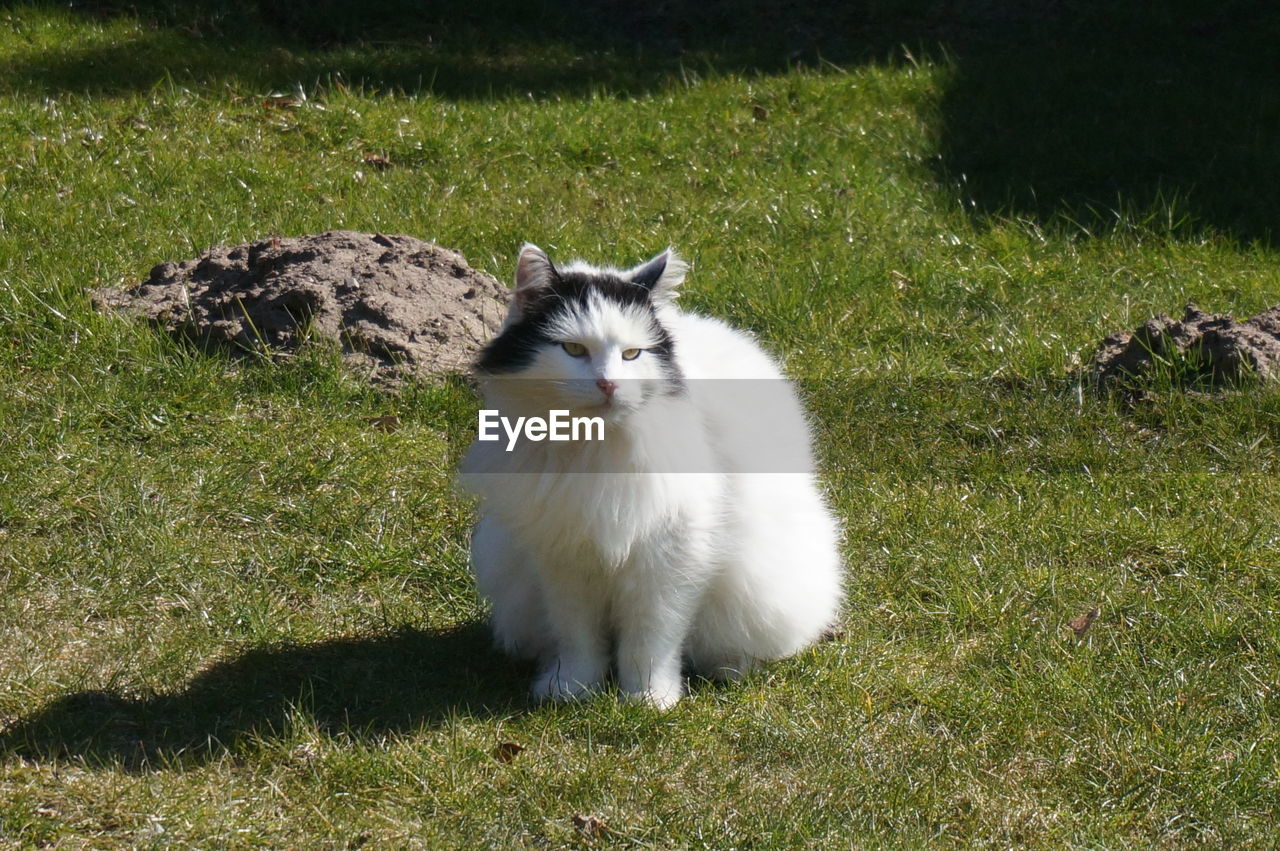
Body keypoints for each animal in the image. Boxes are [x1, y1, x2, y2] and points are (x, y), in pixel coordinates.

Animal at [455, 241, 844, 706]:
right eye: (574, 351)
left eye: (632, 355)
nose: (608, 385)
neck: (594, 444)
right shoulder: (565, 556)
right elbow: (578, 637)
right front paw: (572, 690)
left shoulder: (670, 557)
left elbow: (650, 641)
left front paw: (648, 701)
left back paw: (730, 669)